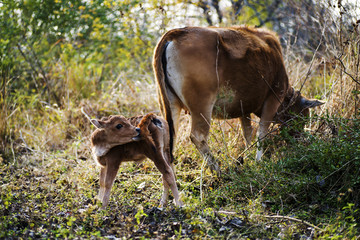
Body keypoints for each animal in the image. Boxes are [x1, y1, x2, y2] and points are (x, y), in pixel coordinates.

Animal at [152, 25, 324, 172]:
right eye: (303, 116)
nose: (299, 139)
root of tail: (178, 32)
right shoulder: (273, 98)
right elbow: (262, 132)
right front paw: (258, 161)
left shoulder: (244, 108)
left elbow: (248, 133)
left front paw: (248, 157)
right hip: (202, 106)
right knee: (198, 137)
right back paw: (218, 170)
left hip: (171, 105)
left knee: (169, 140)